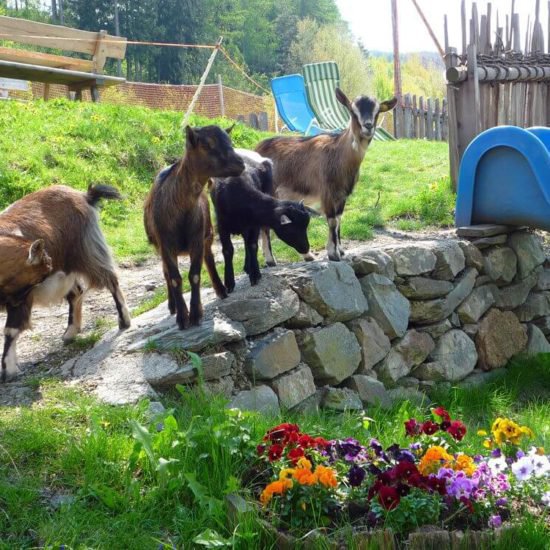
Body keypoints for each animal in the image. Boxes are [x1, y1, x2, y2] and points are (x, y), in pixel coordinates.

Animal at [0, 185, 131, 384]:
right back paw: (70, 332)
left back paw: (124, 321)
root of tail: (83, 195)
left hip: (87, 251)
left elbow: (11, 330)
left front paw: (9, 370)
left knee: (110, 280)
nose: (14, 302)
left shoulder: (24, 296)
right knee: (77, 292)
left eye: (39, 278)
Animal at [143, 126, 245, 328]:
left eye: (229, 139)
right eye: (206, 144)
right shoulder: (165, 244)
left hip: (207, 235)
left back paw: (221, 289)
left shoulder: (196, 238)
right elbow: (174, 278)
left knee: (209, 259)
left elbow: (195, 275)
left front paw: (196, 314)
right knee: (165, 273)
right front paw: (182, 318)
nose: (240, 163)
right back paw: (172, 306)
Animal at [211, 149, 314, 292]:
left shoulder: (254, 224)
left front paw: (255, 275)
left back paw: (251, 266)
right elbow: (228, 250)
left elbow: (253, 245)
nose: (305, 248)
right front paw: (229, 283)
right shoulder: (222, 225)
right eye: (291, 229)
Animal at [256, 88, 398, 264]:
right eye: (353, 111)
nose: (368, 126)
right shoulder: (327, 193)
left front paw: (341, 251)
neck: (339, 154)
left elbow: (339, 220)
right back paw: (270, 260)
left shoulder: (342, 195)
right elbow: (332, 221)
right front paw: (333, 254)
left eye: (377, 111)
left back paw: (307, 256)